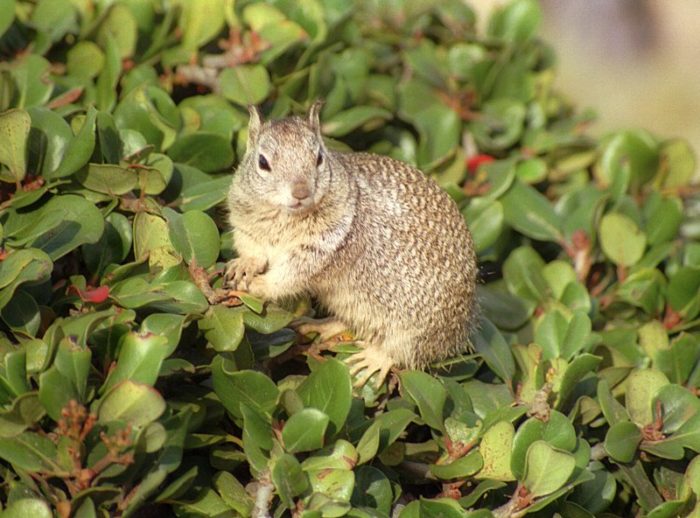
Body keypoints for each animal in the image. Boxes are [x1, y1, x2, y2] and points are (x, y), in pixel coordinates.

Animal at [227, 102, 478, 386]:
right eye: (262, 162)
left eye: (319, 158)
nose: (301, 192)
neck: (284, 218)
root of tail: (459, 330)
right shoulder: (247, 227)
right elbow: (253, 249)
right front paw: (245, 265)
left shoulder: (323, 246)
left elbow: (290, 276)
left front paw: (260, 285)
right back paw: (324, 325)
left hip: (417, 327)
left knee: (405, 350)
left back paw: (375, 358)